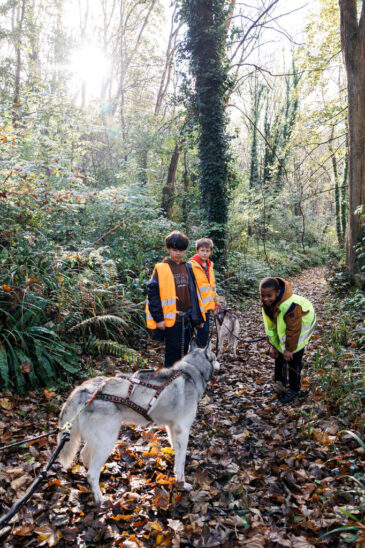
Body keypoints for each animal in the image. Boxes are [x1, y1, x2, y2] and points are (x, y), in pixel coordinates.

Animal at [57, 342, 219, 506]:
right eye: (215, 357)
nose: (220, 363)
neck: (192, 370)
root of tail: (83, 389)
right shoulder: (183, 430)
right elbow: (180, 463)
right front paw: (182, 483)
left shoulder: (172, 428)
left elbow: (177, 452)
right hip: (107, 442)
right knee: (91, 473)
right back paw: (99, 498)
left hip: (99, 439)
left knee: (84, 455)